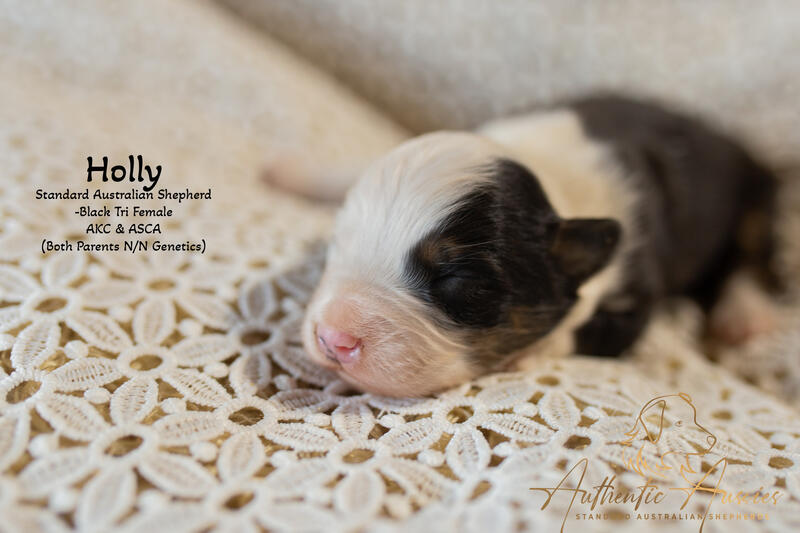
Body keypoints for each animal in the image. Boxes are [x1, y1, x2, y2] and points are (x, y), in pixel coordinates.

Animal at [269, 95, 780, 397]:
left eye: (459, 282)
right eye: (337, 245)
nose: (332, 339)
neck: (551, 178)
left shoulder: (636, 289)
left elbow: (584, 329)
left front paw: (529, 352)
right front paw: (297, 172)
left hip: (756, 198)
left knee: (753, 256)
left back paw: (744, 313)